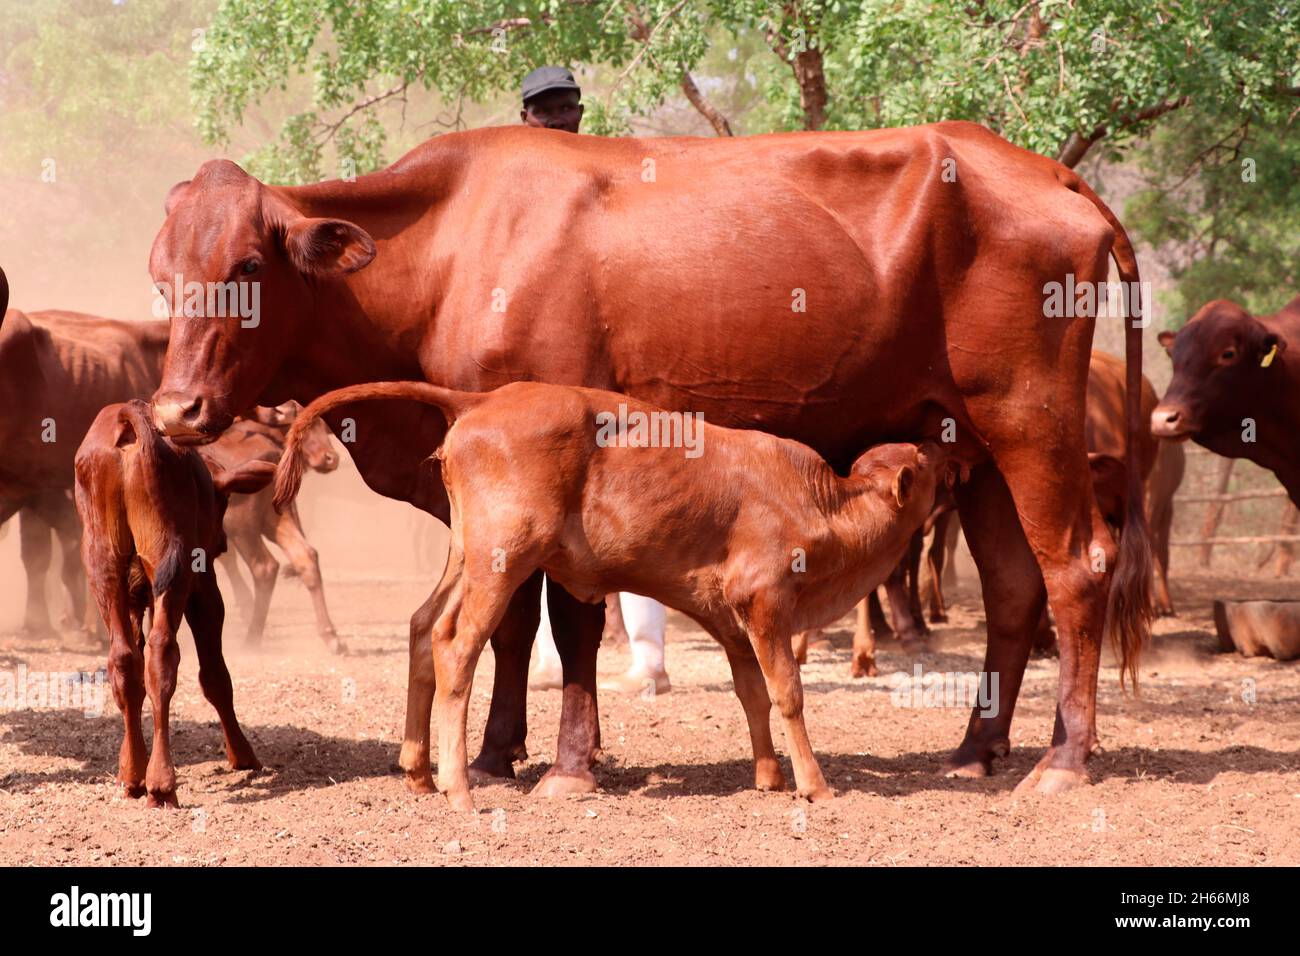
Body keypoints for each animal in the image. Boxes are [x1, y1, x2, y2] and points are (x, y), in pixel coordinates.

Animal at [74, 400, 274, 806]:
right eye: (221, 502)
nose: (222, 540)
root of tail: (129, 421)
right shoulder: (203, 585)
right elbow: (215, 675)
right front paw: (241, 753)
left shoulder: (135, 596)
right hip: (178, 567)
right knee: (162, 654)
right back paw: (162, 783)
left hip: (104, 565)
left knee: (124, 659)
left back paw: (133, 774)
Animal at [274, 379, 946, 806]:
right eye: (923, 466)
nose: (944, 453)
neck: (822, 501)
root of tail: (488, 398)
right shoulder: (765, 603)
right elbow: (787, 694)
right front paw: (814, 784)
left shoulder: (730, 620)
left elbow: (752, 693)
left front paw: (768, 776)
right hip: (501, 565)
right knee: (456, 650)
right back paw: (457, 788)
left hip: (467, 558)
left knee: (422, 628)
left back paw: (417, 772)